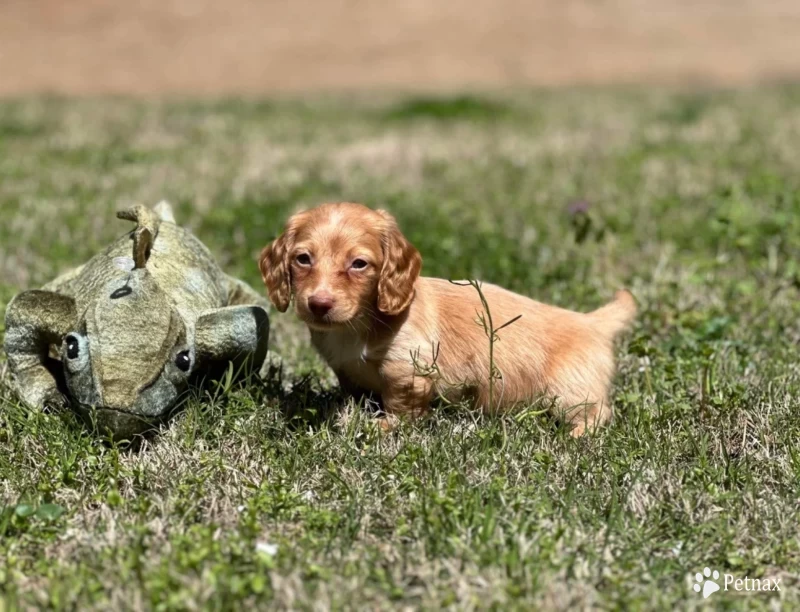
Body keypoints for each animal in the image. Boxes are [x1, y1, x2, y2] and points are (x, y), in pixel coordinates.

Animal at [262, 202, 636, 436]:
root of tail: (592, 321)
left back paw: (574, 436)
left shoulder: (409, 369)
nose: (318, 304)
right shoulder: (346, 370)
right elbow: (355, 394)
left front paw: (381, 426)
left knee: (598, 413)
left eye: (358, 264)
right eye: (303, 259)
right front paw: (348, 414)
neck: (357, 326)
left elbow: (402, 407)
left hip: (569, 391)